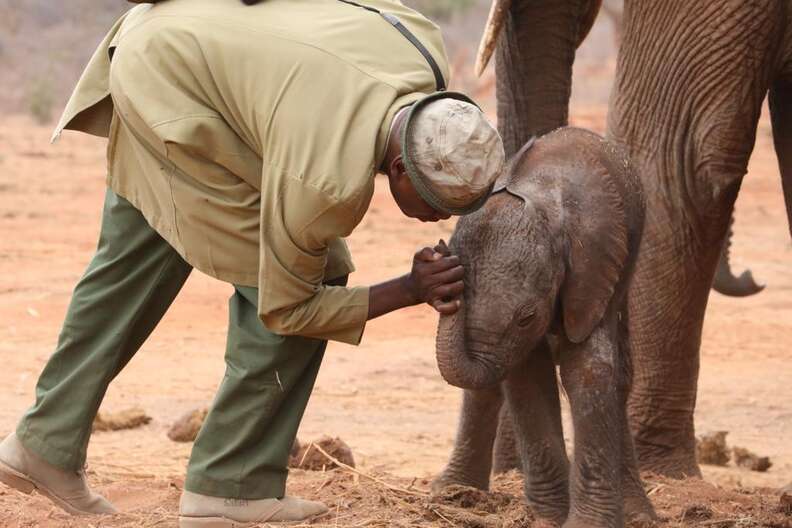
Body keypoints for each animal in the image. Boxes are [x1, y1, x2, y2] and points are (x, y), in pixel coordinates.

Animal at [433, 127, 654, 527]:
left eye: (527, 317)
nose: (440, 251)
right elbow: (527, 376)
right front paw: (546, 517)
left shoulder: (593, 270)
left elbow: (588, 371)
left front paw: (585, 524)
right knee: (489, 385)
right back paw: (452, 493)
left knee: (620, 374)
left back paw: (639, 514)